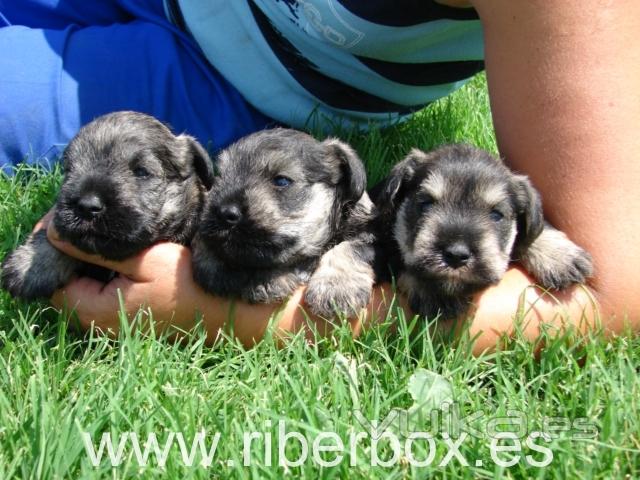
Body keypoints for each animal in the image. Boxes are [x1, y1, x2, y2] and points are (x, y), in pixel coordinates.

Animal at [192, 126, 378, 318]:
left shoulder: (366, 233)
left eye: (282, 180)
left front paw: (335, 289)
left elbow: (348, 248)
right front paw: (217, 265)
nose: (224, 213)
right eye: (220, 176)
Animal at [372, 144, 592, 320]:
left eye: (496, 214)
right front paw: (435, 291)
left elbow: (528, 233)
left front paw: (558, 256)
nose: (456, 255)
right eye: (425, 204)